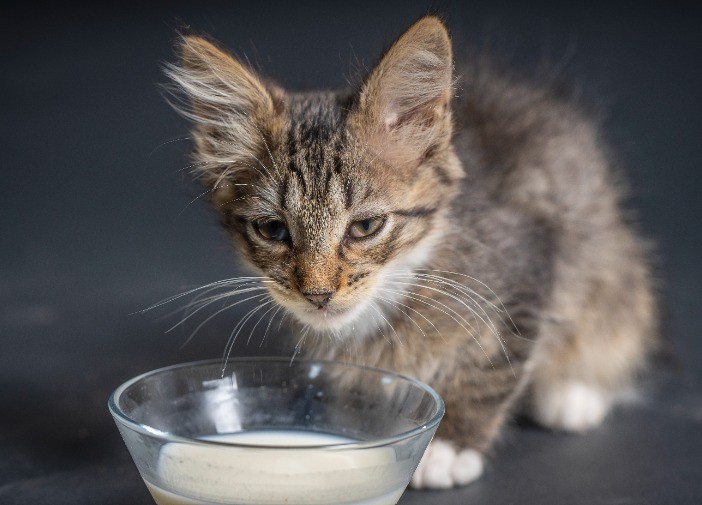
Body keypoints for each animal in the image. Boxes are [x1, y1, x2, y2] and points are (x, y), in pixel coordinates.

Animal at [162, 15, 656, 488]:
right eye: (273, 229)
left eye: (364, 227)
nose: (318, 294)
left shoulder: (528, 263)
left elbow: (491, 367)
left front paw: (448, 446)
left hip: (609, 264)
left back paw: (573, 393)